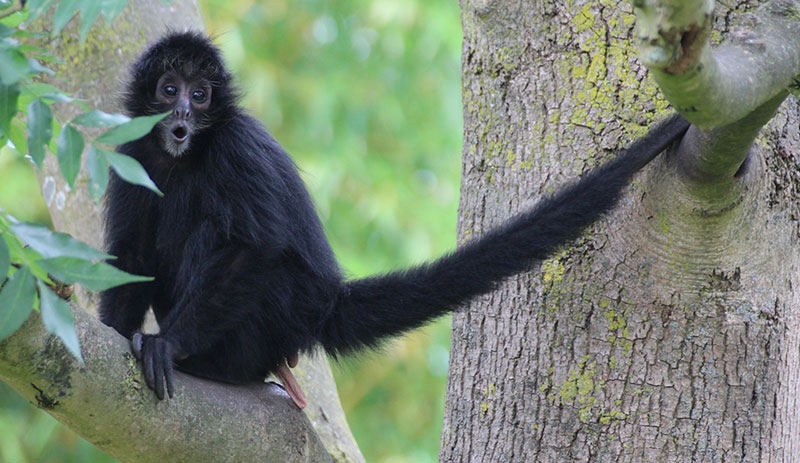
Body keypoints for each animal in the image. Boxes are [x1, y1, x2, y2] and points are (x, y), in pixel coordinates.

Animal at [98, 30, 688, 410]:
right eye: (168, 89)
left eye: (200, 96)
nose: (181, 116)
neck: (185, 156)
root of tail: (320, 306)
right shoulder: (130, 147)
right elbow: (132, 253)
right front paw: (111, 332)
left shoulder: (236, 145)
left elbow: (255, 248)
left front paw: (168, 345)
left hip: (271, 313)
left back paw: (214, 363)